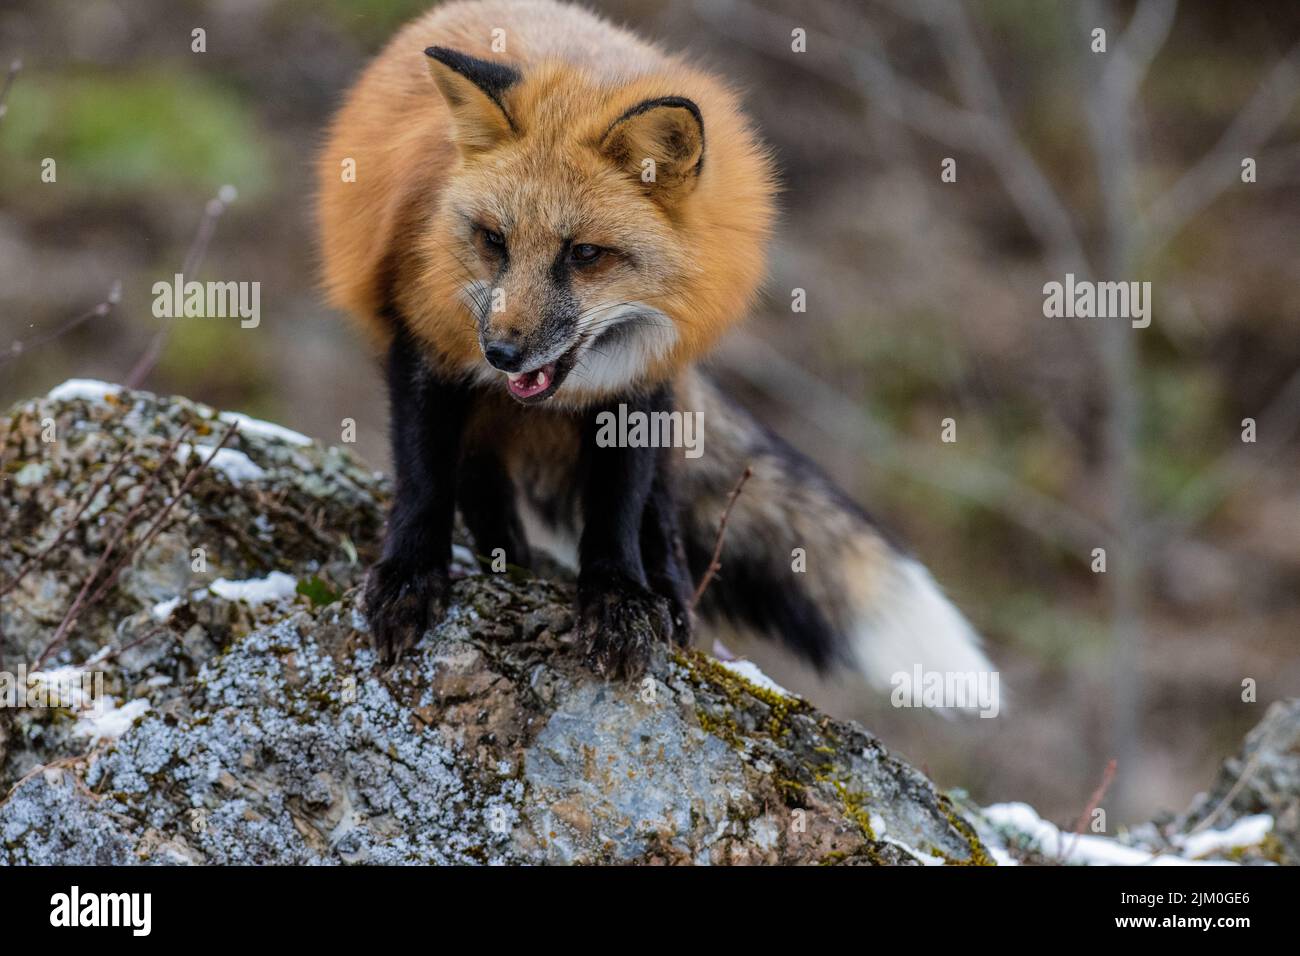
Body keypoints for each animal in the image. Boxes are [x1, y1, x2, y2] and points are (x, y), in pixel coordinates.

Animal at [316, 0, 992, 688]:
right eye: (493, 240)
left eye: (585, 254)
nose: (500, 354)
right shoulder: (424, 339)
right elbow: (424, 477)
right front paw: (410, 578)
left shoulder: (639, 382)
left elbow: (619, 505)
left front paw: (620, 599)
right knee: (480, 465)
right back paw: (506, 545)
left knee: (660, 504)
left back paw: (666, 589)